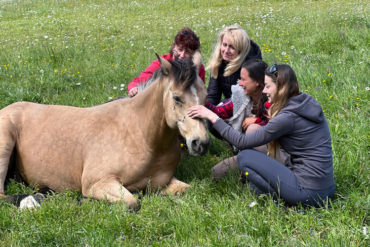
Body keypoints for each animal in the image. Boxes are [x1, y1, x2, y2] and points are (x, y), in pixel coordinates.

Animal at [0, 52, 208, 210]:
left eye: (205, 96)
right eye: (177, 98)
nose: (200, 143)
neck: (140, 135)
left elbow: (187, 189)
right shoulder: (98, 183)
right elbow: (132, 202)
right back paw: (32, 200)